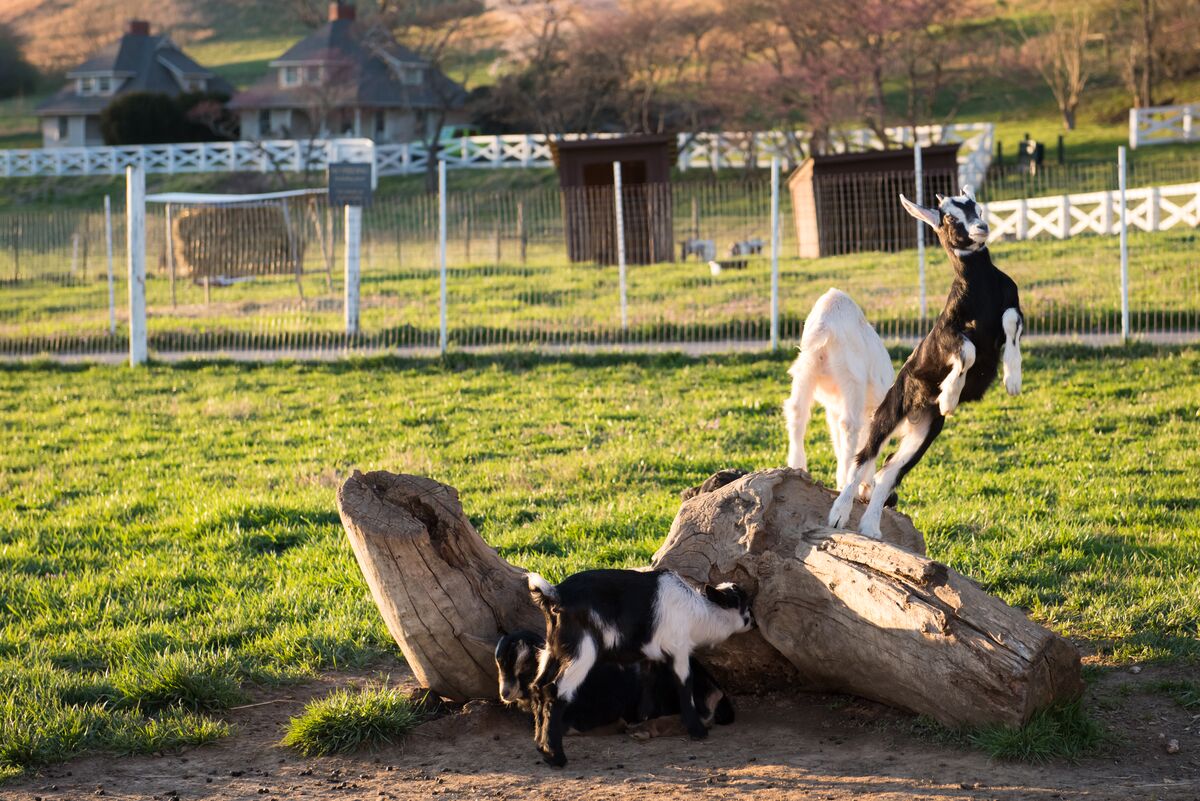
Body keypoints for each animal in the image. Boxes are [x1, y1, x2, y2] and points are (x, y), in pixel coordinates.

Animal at [525, 565, 748, 767]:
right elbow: (685, 685)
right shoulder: (679, 648)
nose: (752, 622)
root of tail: (556, 595)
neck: (698, 614)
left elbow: (649, 680)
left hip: (552, 650)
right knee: (555, 692)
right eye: (743, 602)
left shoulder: (652, 654)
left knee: (537, 687)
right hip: (582, 650)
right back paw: (556, 757)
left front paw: (644, 717)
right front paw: (698, 731)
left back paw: (541, 747)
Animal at [782, 287, 897, 489]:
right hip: (852, 377)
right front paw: (866, 484)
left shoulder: (833, 409)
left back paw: (797, 467)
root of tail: (828, 321)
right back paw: (846, 480)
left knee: (797, 411)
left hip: (805, 369)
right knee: (849, 425)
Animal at [830, 183, 1027, 537]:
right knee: (864, 457)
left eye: (976, 207)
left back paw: (871, 527)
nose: (981, 227)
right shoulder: (948, 332)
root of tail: (914, 410)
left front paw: (1012, 379)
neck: (980, 289)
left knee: (889, 471)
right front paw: (950, 396)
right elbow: (968, 350)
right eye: (949, 217)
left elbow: (1009, 323)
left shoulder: (1011, 306)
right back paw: (839, 515)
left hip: (924, 433)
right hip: (890, 411)